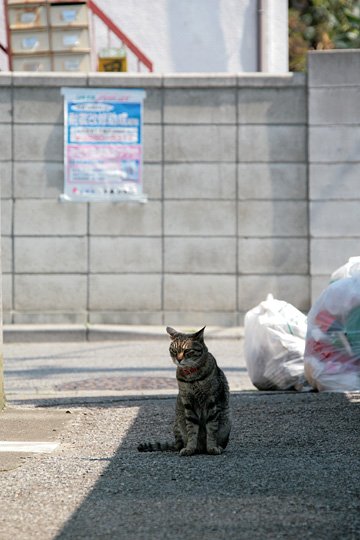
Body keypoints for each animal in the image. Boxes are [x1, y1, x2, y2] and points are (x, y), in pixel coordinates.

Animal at [138, 324, 231, 456]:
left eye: (187, 351)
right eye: (174, 351)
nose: (178, 359)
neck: (191, 377)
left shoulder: (211, 401)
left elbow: (212, 428)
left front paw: (212, 447)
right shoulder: (188, 402)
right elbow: (192, 429)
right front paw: (190, 448)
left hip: (226, 422)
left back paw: (216, 447)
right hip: (178, 422)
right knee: (182, 442)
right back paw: (191, 447)